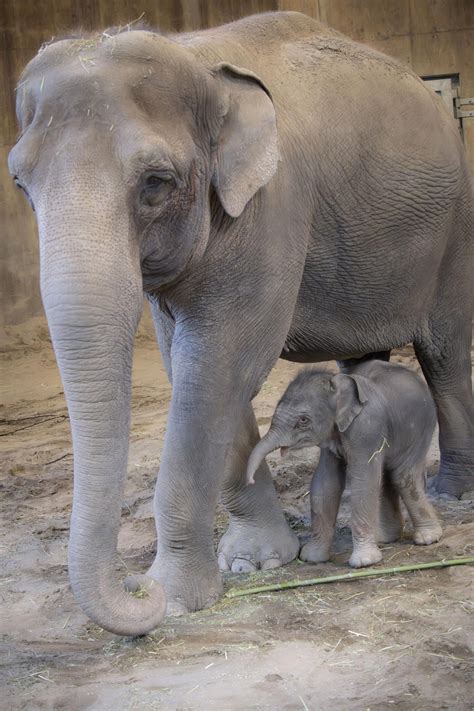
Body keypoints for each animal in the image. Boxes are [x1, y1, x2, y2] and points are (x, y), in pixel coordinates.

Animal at [246, 360, 442, 568]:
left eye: (303, 420)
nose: (250, 480)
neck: (337, 385)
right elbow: (326, 483)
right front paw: (312, 558)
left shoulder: (367, 428)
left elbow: (363, 481)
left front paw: (364, 562)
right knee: (386, 477)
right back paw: (387, 538)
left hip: (421, 428)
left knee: (402, 476)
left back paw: (428, 538)